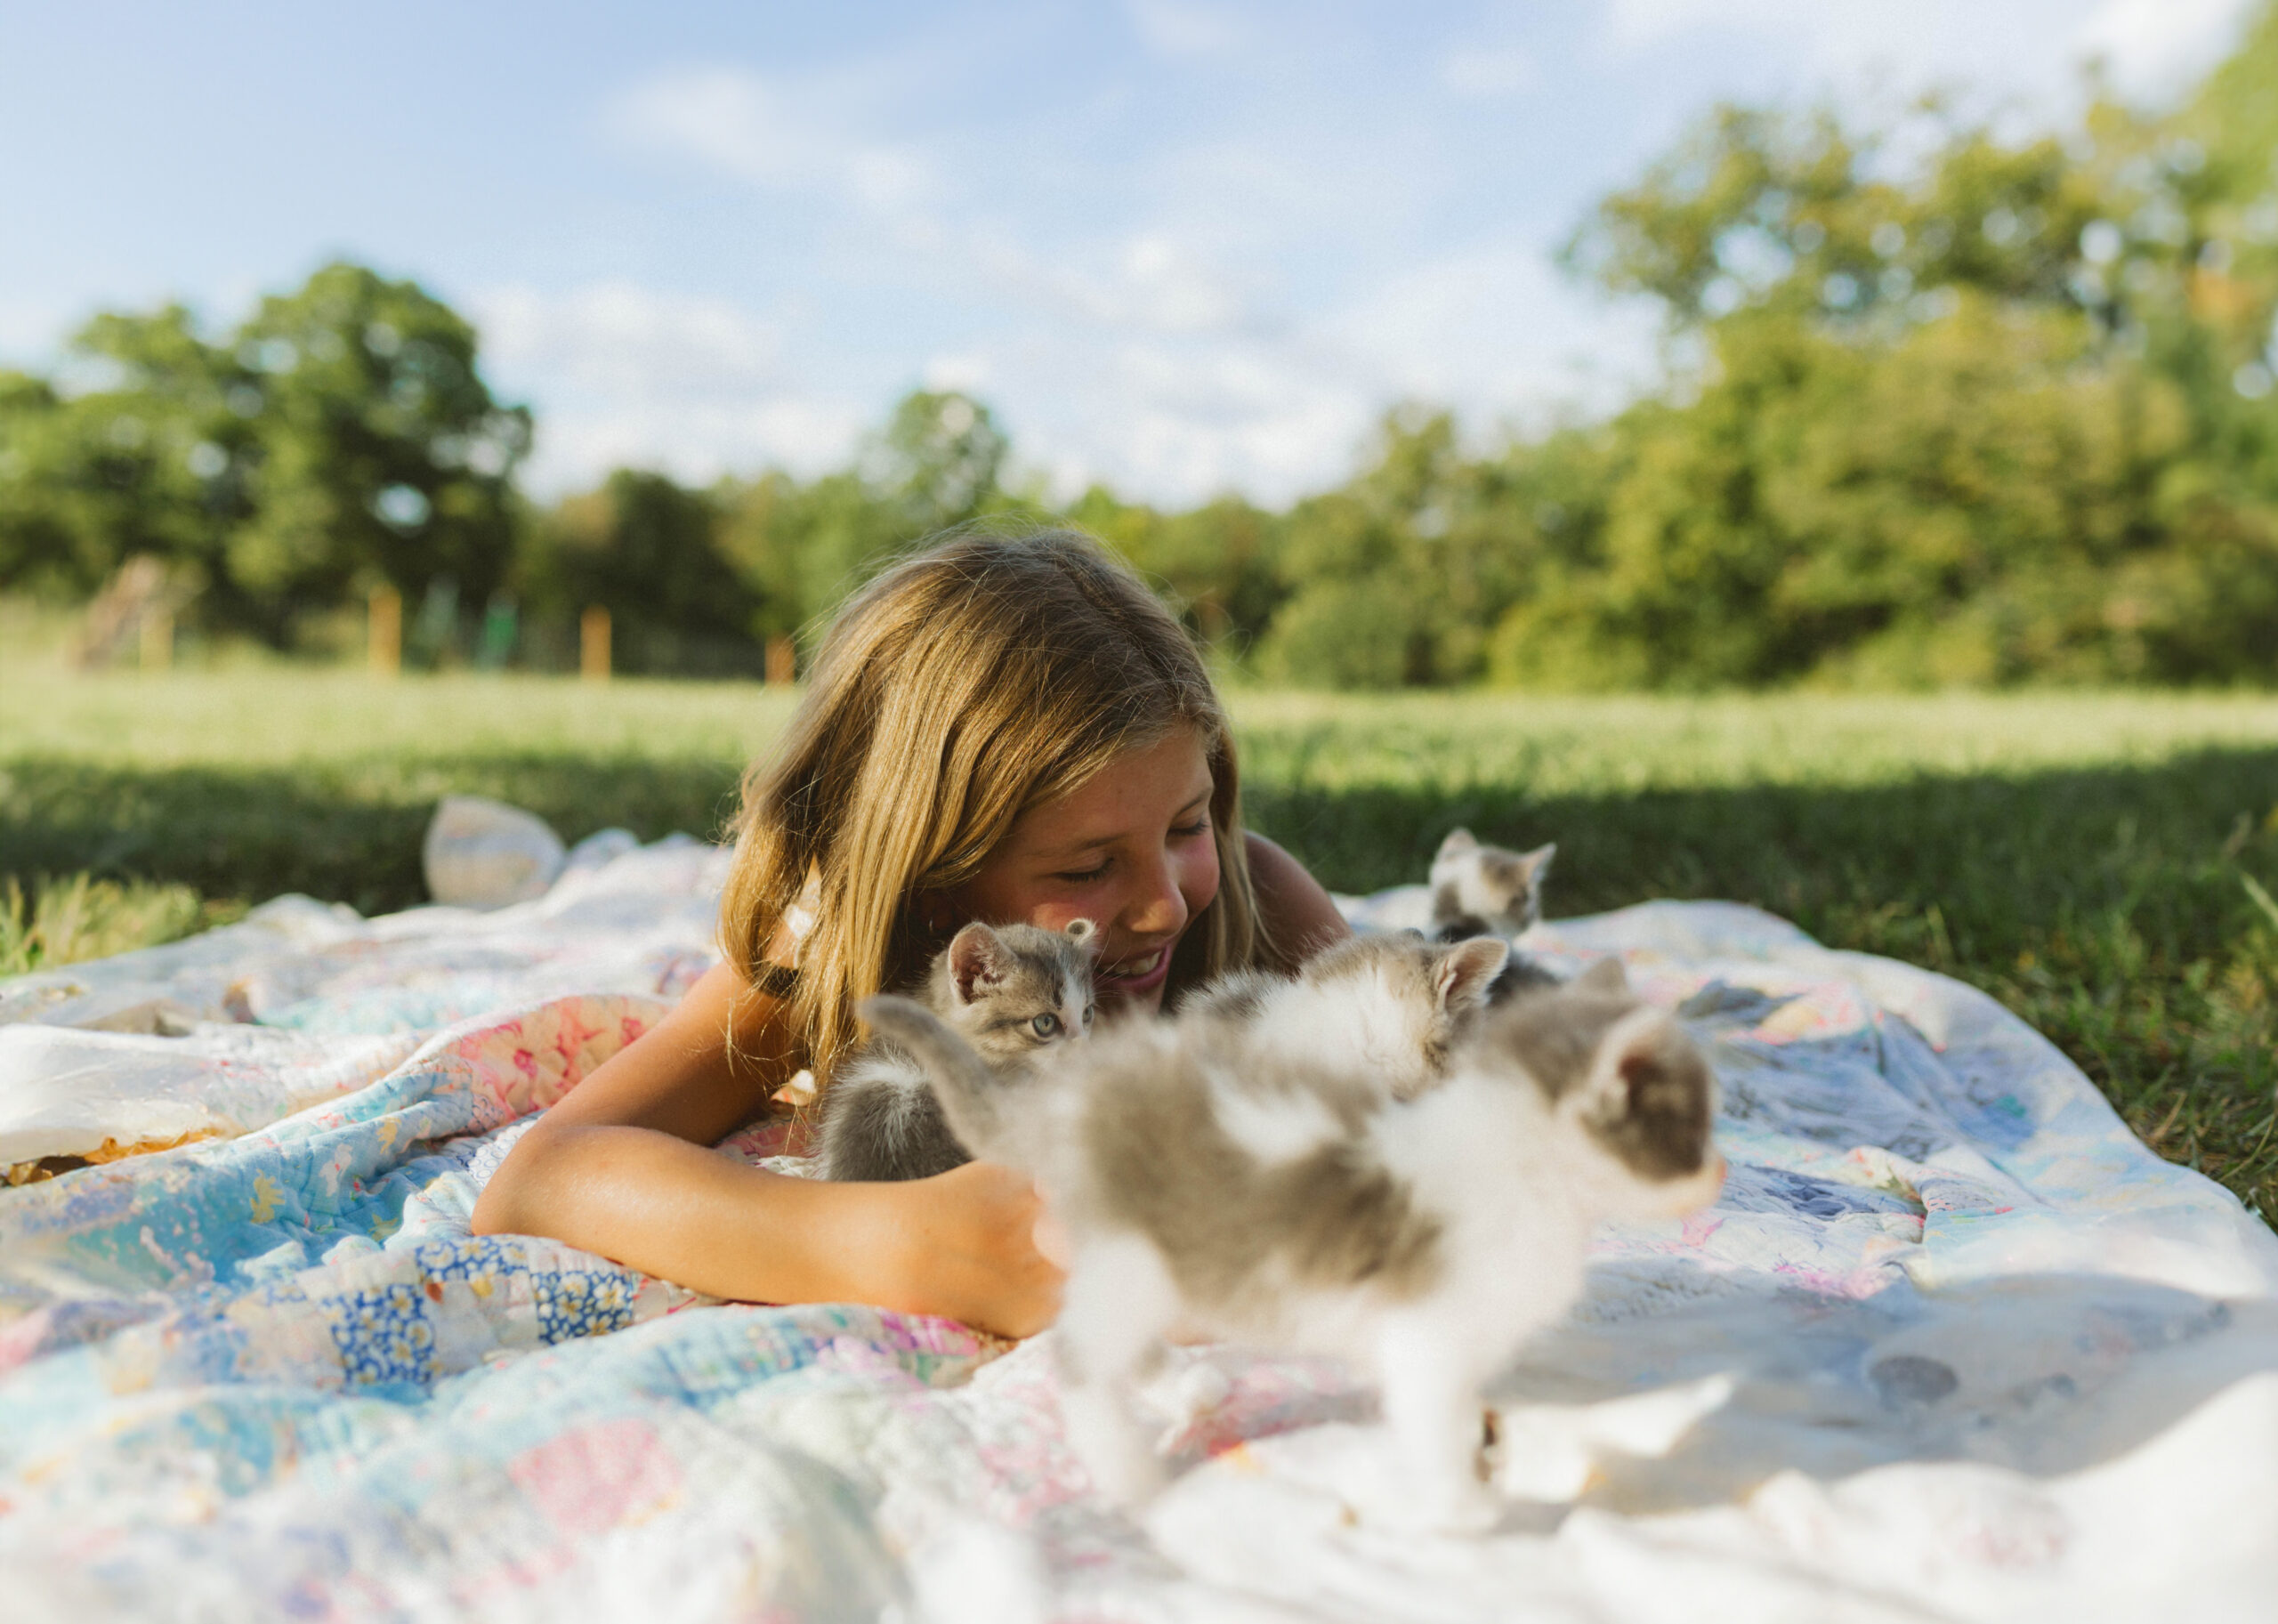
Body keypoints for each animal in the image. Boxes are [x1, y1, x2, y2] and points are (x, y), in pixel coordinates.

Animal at [860, 957, 1713, 1531]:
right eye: (1695, 1128)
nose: (1720, 1170)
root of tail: (1068, 1106)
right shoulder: (1426, 1324)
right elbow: (1435, 1417)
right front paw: (1462, 1505)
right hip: (1136, 1255)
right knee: (1078, 1356)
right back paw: (1139, 1482)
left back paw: (1185, 1391)